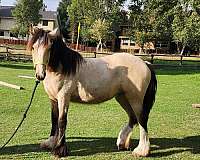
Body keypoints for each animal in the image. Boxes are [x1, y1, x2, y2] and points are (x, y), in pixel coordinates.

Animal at [26, 27, 157, 158]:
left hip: (135, 99)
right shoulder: (53, 99)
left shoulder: (64, 98)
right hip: (123, 98)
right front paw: (50, 143)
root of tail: (145, 64)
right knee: (133, 118)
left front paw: (59, 150)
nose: (40, 75)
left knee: (142, 119)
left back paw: (141, 151)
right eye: (33, 48)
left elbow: (62, 121)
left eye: (49, 48)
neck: (63, 67)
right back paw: (122, 143)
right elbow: (54, 119)